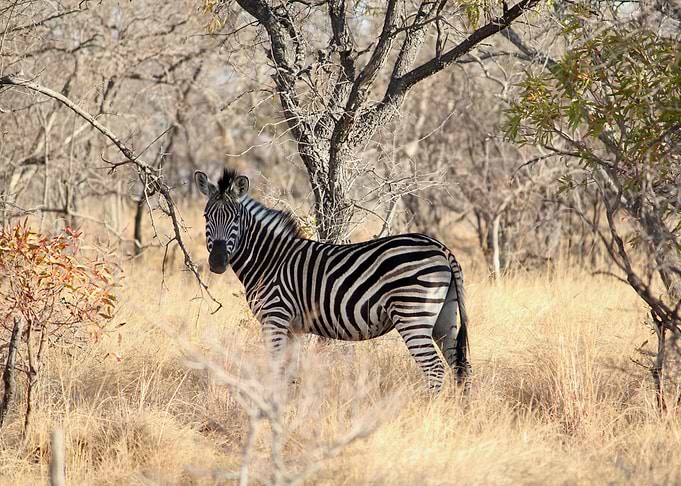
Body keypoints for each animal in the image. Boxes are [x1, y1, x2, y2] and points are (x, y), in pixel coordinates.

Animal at [195, 168, 471, 392]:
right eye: (206, 217)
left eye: (235, 219)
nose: (217, 262)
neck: (269, 259)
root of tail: (441, 248)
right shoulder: (293, 327)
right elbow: (290, 373)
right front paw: (289, 408)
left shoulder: (275, 317)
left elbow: (275, 370)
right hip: (443, 317)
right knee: (460, 366)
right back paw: (459, 415)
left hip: (413, 314)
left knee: (434, 369)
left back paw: (430, 413)